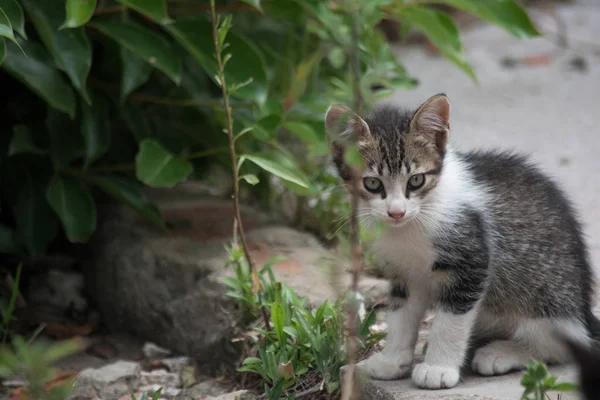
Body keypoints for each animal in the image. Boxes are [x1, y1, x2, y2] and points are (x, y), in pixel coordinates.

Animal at [326, 94, 596, 390]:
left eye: (416, 180)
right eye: (373, 184)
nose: (396, 212)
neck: (412, 225)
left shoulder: (471, 261)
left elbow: (451, 321)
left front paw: (437, 368)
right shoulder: (405, 273)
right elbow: (400, 315)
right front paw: (391, 362)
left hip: (545, 301)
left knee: (559, 345)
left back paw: (502, 352)